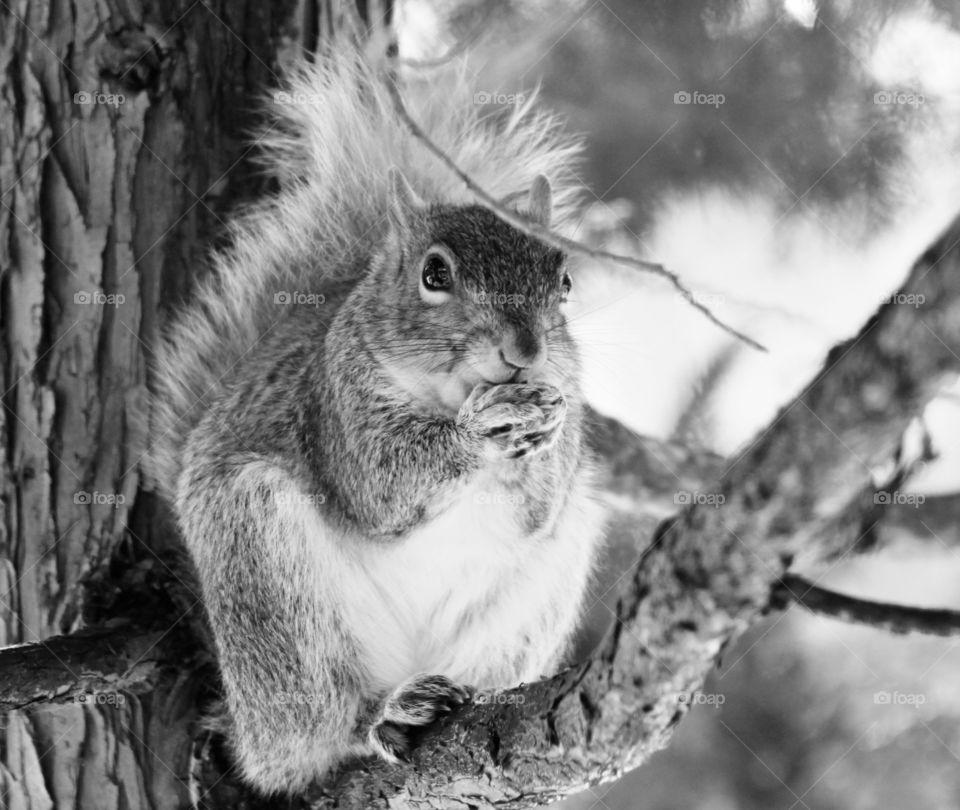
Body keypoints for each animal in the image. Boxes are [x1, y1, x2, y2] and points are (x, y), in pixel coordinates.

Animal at [149, 41, 605, 794]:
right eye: (434, 274)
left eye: (564, 282)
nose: (525, 353)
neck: (448, 393)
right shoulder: (335, 401)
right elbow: (379, 487)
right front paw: (480, 430)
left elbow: (536, 509)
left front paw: (542, 430)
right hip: (266, 577)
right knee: (312, 733)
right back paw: (380, 715)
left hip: (528, 605)